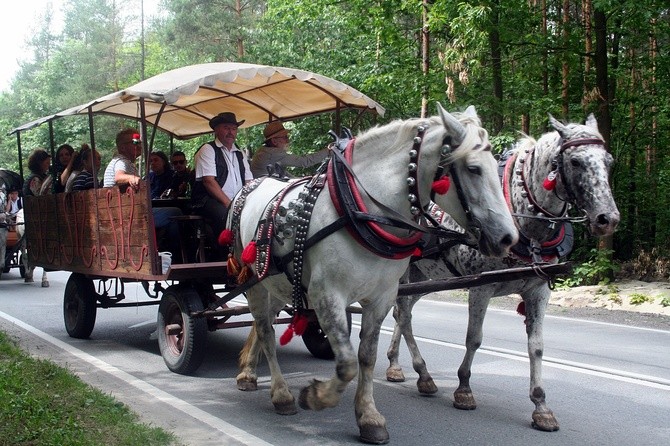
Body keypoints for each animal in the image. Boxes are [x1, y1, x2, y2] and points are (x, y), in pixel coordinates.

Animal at [231, 103, 520, 442]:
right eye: (474, 169)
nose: (508, 238)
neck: (361, 209)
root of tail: (253, 184)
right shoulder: (326, 294)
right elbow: (346, 363)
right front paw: (316, 397)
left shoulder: (381, 297)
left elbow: (366, 356)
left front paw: (369, 417)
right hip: (254, 280)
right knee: (265, 329)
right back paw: (281, 394)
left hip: (277, 283)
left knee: (264, 324)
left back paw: (250, 373)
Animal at [386, 114, 624, 432]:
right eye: (575, 162)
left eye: (608, 161)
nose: (607, 219)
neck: (526, 228)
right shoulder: (481, 288)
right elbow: (474, 338)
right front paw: (464, 390)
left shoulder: (538, 291)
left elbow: (536, 347)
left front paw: (541, 405)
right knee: (402, 313)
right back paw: (418, 372)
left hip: (425, 275)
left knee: (403, 312)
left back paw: (400, 367)